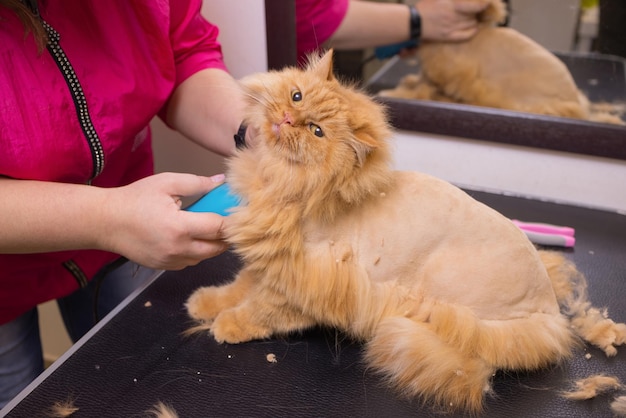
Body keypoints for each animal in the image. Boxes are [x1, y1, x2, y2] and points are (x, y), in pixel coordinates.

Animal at [186, 50, 624, 414]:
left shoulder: (304, 283)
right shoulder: (272, 264)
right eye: (296, 96)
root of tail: (550, 314)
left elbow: (259, 310)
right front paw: (206, 303)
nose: (288, 120)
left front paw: (227, 325)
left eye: (316, 132)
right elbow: (239, 286)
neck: (281, 183)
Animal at [378, 0, 620, 124]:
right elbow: (419, 81)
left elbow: (421, 90)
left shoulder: (442, 74)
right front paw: (407, 83)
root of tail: (578, 105)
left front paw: (395, 93)